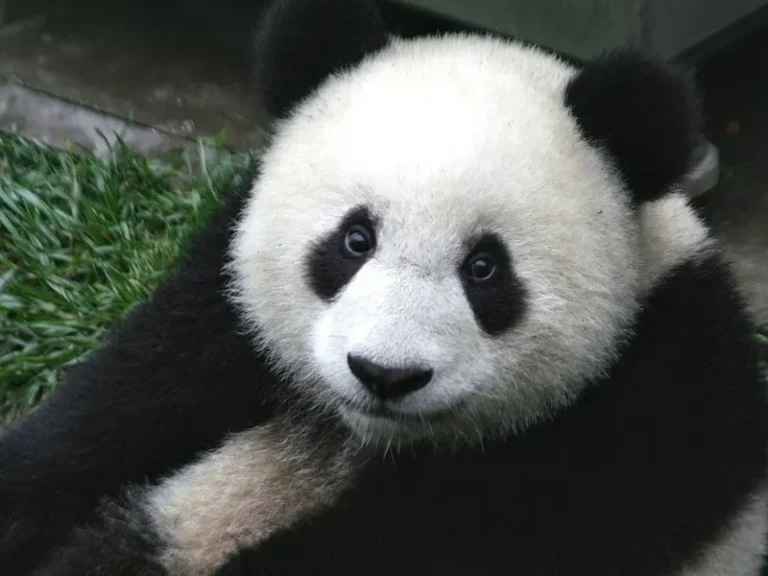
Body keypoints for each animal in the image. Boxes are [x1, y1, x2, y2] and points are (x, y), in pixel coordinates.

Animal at [1, 0, 767, 574]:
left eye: (484, 269)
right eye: (355, 240)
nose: (384, 375)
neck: (372, 439)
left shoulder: (647, 417)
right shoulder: (222, 305)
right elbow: (120, 403)